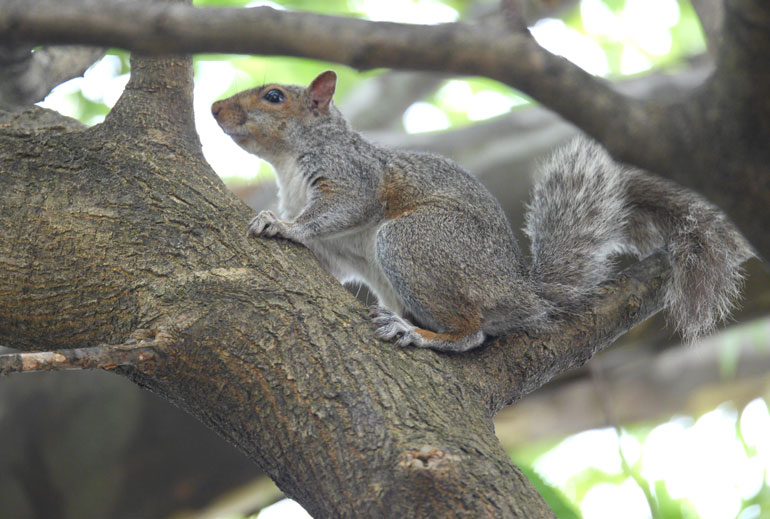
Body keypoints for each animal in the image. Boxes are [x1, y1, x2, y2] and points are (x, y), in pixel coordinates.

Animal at [210, 70, 752, 354]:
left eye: (274, 96)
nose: (214, 108)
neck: (287, 165)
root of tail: (518, 289)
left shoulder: (353, 176)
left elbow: (340, 209)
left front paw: (281, 225)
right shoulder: (334, 249)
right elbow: (329, 259)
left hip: (415, 241)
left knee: (470, 333)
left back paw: (417, 331)